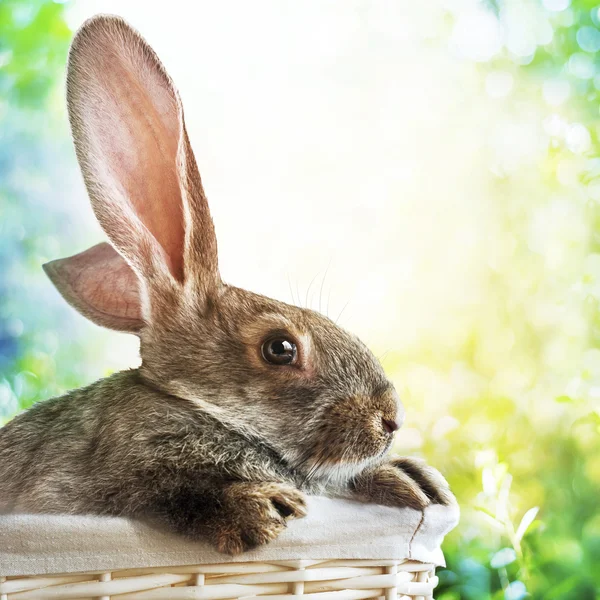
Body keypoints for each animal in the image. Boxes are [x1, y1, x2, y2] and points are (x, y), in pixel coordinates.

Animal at [0, 14, 452, 556]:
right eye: (280, 348)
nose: (390, 421)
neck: (199, 407)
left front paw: (413, 480)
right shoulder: (124, 468)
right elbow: (176, 491)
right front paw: (261, 511)